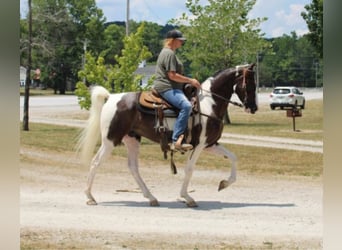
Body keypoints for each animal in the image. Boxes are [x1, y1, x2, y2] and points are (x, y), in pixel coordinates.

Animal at [77, 62, 256, 207]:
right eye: (250, 84)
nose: (253, 108)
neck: (209, 104)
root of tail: (110, 97)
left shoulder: (209, 144)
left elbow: (233, 157)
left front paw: (224, 183)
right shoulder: (198, 145)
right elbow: (189, 169)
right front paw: (187, 198)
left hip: (132, 140)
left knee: (133, 167)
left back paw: (151, 197)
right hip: (111, 140)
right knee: (95, 162)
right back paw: (90, 197)